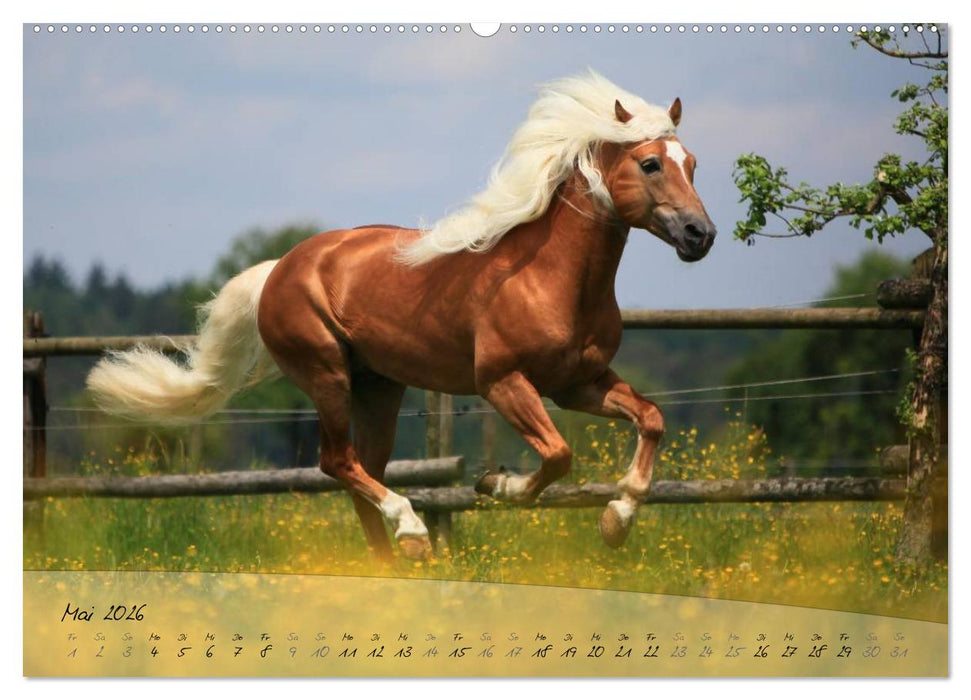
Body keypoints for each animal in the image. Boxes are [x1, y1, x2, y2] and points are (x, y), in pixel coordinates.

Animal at [87, 70, 716, 561]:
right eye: (651, 163)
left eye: (693, 163)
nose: (700, 235)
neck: (550, 278)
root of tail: (279, 269)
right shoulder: (503, 382)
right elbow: (558, 455)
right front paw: (496, 484)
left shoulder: (578, 384)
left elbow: (652, 418)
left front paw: (616, 521)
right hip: (326, 373)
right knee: (338, 462)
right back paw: (412, 533)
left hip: (379, 388)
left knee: (361, 471)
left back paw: (390, 567)